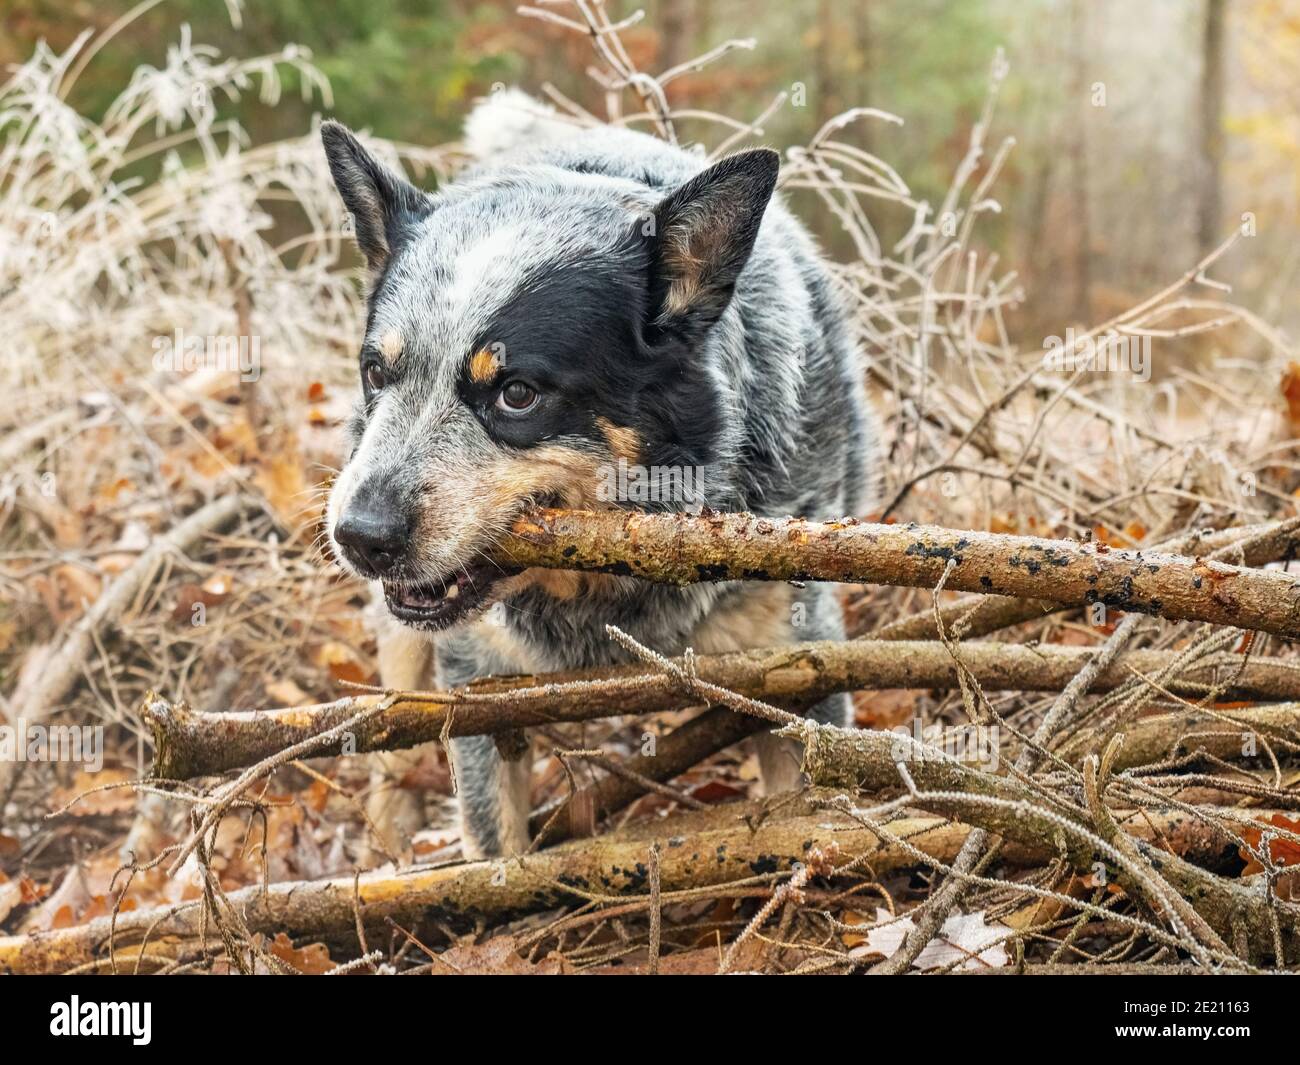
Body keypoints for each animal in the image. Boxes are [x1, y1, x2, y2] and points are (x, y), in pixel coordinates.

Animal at [321, 89, 878, 858]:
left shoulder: (797, 660)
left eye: (516, 393)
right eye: (376, 372)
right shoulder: (477, 679)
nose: (361, 536)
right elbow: (495, 846)